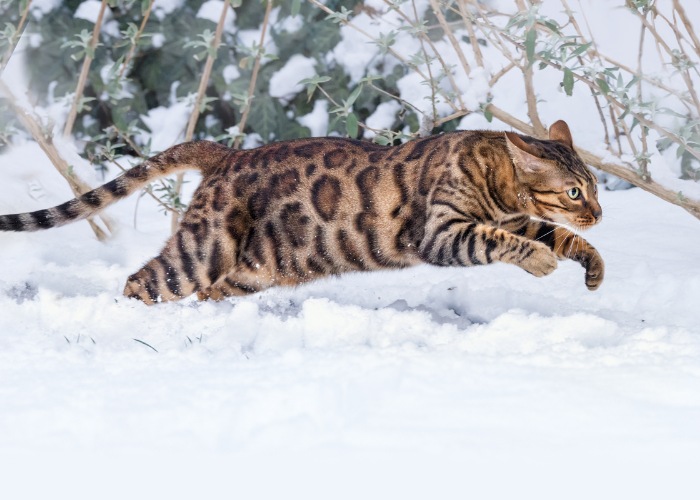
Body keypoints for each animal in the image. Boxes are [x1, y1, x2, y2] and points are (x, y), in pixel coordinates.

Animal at [0, 120, 600, 304]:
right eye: (574, 192)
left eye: (593, 189)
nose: (597, 213)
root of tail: (225, 153)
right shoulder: (442, 233)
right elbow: (503, 242)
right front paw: (541, 263)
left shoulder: (516, 218)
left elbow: (557, 236)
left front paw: (592, 265)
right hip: (201, 250)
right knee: (140, 283)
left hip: (255, 268)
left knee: (210, 293)